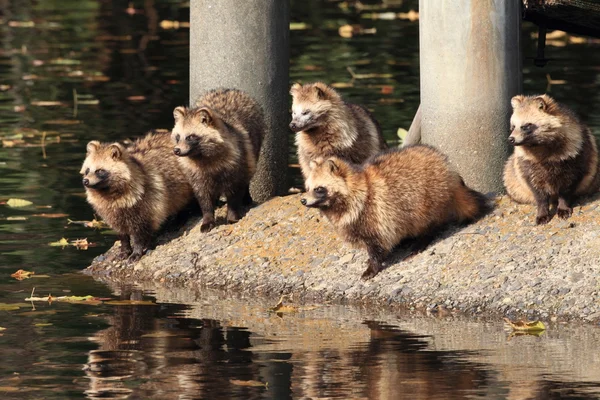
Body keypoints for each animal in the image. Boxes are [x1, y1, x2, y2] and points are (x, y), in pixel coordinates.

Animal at [81, 131, 193, 262]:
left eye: (99, 171)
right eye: (87, 170)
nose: (85, 181)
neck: (108, 192)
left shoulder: (146, 201)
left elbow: (139, 232)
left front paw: (137, 250)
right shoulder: (111, 212)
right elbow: (121, 232)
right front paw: (125, 249)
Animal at [171, 87, 264, 231]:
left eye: (190, 137)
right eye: (177, 136)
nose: (176, 150)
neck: (202, 156)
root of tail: (228, 89)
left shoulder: (236, 162)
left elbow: (235, 192)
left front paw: (232, 214)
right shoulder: (196, 173)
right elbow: (203, 196)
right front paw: (207, 217)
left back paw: (246, 197)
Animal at [302, 145, 490, 280]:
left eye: (319, 189)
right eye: (308, 188)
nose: (302, 200)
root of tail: (447, 167)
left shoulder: (374, 213)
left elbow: (378, 243)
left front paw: (373, 266)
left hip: (428, 199)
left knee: (428, 223)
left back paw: (421, 240)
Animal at [504, 94, 596, 225]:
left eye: (526, 126)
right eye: (513, 126)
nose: (510, 139)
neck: (538, 145)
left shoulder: (577, 154)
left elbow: (567, 187)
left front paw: (563, 206)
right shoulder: (526, 163)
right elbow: (537, 191)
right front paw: (542, 211)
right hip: (511, 177)